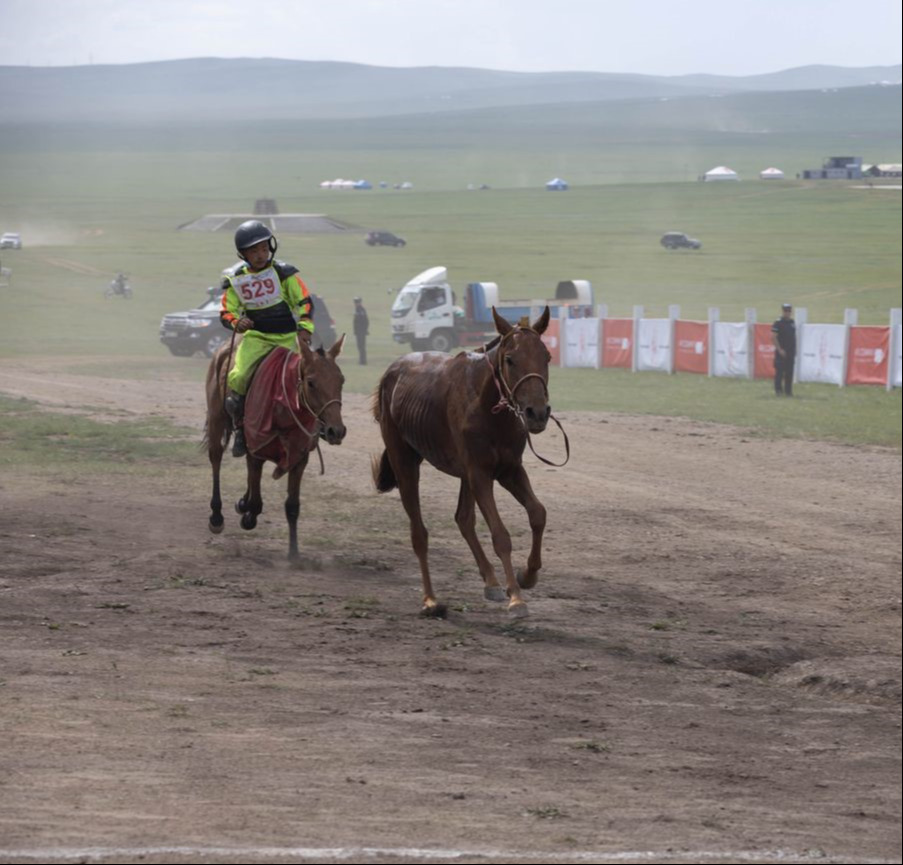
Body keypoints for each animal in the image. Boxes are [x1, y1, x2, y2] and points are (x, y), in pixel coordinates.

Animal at [207, 334, 348, 564]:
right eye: (311, 383)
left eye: (341, 380)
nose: (336, 431)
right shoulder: (256, 450)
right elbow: (256, 501)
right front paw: (248, 517)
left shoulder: (299, 458)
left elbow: (292, 506)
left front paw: (294, 553)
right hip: (216, 418)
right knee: (216, 458)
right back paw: (217, 516)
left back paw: (242, 503)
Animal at [372, 308, 564, 616]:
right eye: (510, 359)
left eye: (546, 356)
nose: (537, 413)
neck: (487, 405)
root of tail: (392, 371)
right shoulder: (480, 474)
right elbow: (500, 535)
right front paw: (516, 598)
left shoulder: (509, 469)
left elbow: (538, 513)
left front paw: (527, 575)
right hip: (405, 461)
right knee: (419, 533)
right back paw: (430, 599)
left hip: (465, 474)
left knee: (463, 519)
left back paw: (491, 581)